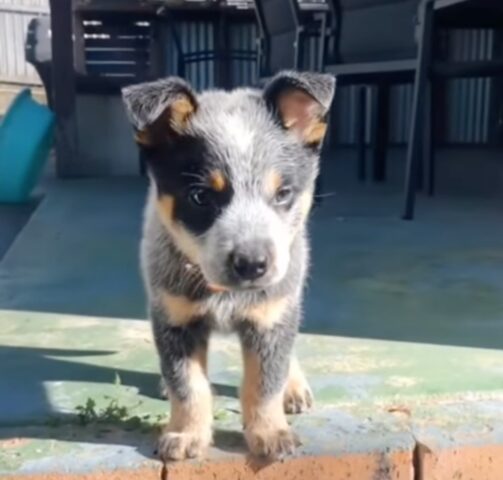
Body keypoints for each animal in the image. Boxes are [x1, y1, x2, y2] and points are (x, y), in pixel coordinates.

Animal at [120, 72, 336, 462]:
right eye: (200, 196)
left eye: (283, 194)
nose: (252, 264)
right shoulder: (174, 317)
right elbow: (188, 384)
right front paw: (186, 434)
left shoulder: (270, 314)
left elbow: (264, 381)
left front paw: (271, 432)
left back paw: (294, 386)